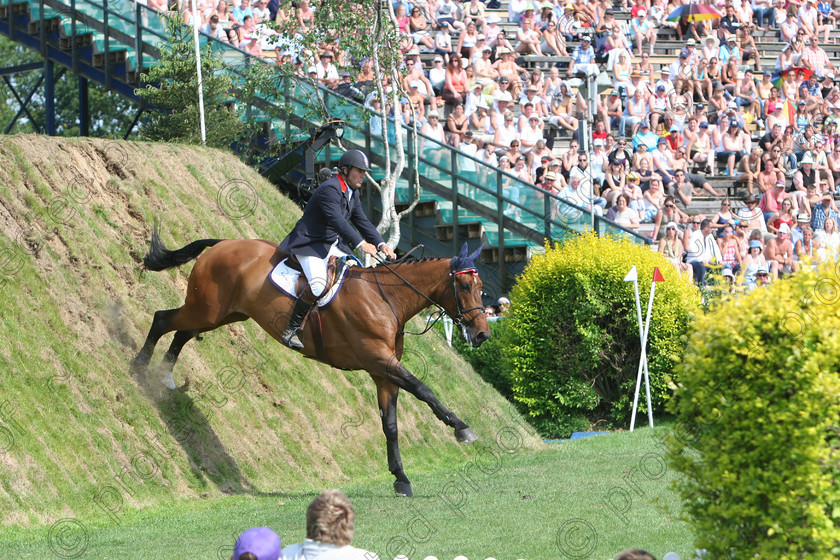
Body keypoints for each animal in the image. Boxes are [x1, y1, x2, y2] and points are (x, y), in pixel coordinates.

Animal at [131, 230, 492, 496]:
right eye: (463, 285)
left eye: (481, 288)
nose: (482, 335)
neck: (385, 298)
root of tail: (225, 243)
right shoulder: (379, 360)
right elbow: (423, 389)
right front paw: (462, 429)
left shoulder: (382, 372)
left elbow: (390, 424)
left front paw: (400, 478)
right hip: (207, 309)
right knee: (163, 320)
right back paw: (139, 367)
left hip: (222, 314)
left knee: (182, 332)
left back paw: (164, 376)